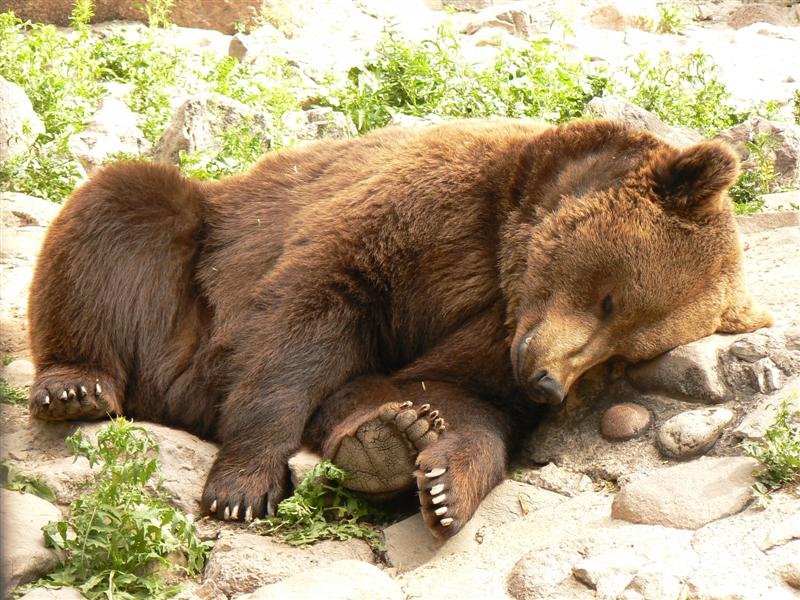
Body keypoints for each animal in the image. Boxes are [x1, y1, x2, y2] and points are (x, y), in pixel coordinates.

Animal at [28, 118, 772, 540]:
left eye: (620, 359)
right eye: (613, 299)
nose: (546, 384)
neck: (501, 256)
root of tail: (172, 395)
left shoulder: (484, 338)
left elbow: (452, 396)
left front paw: (439, 480)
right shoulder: (422, 219)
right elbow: (306, 325)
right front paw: (241, 487)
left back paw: (383, 442)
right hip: (197, 272)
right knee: (125, 208)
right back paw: (76, 386)